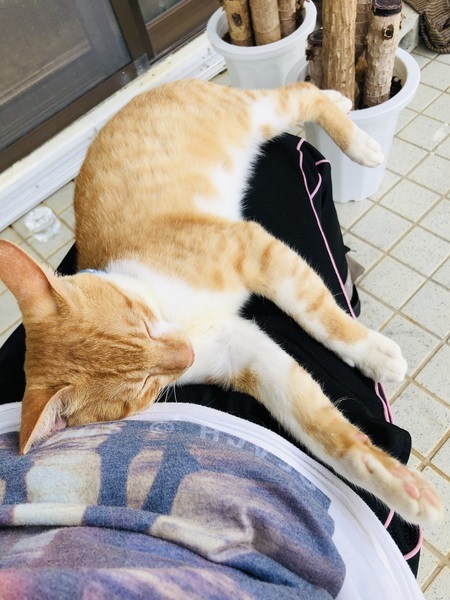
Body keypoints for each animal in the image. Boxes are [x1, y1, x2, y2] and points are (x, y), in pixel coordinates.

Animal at [0, 79, 442, 526]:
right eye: (141, 389)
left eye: (142, 320)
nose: (185, 355)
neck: (181, 318)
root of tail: (137, 96)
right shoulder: (244, 352)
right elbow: (315, 422)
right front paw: (398, 486)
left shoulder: (254, 249)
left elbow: (319, 314)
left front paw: (372, 352)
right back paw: (341, 102)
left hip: (254, 115)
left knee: (301, 91)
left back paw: (359, 141)